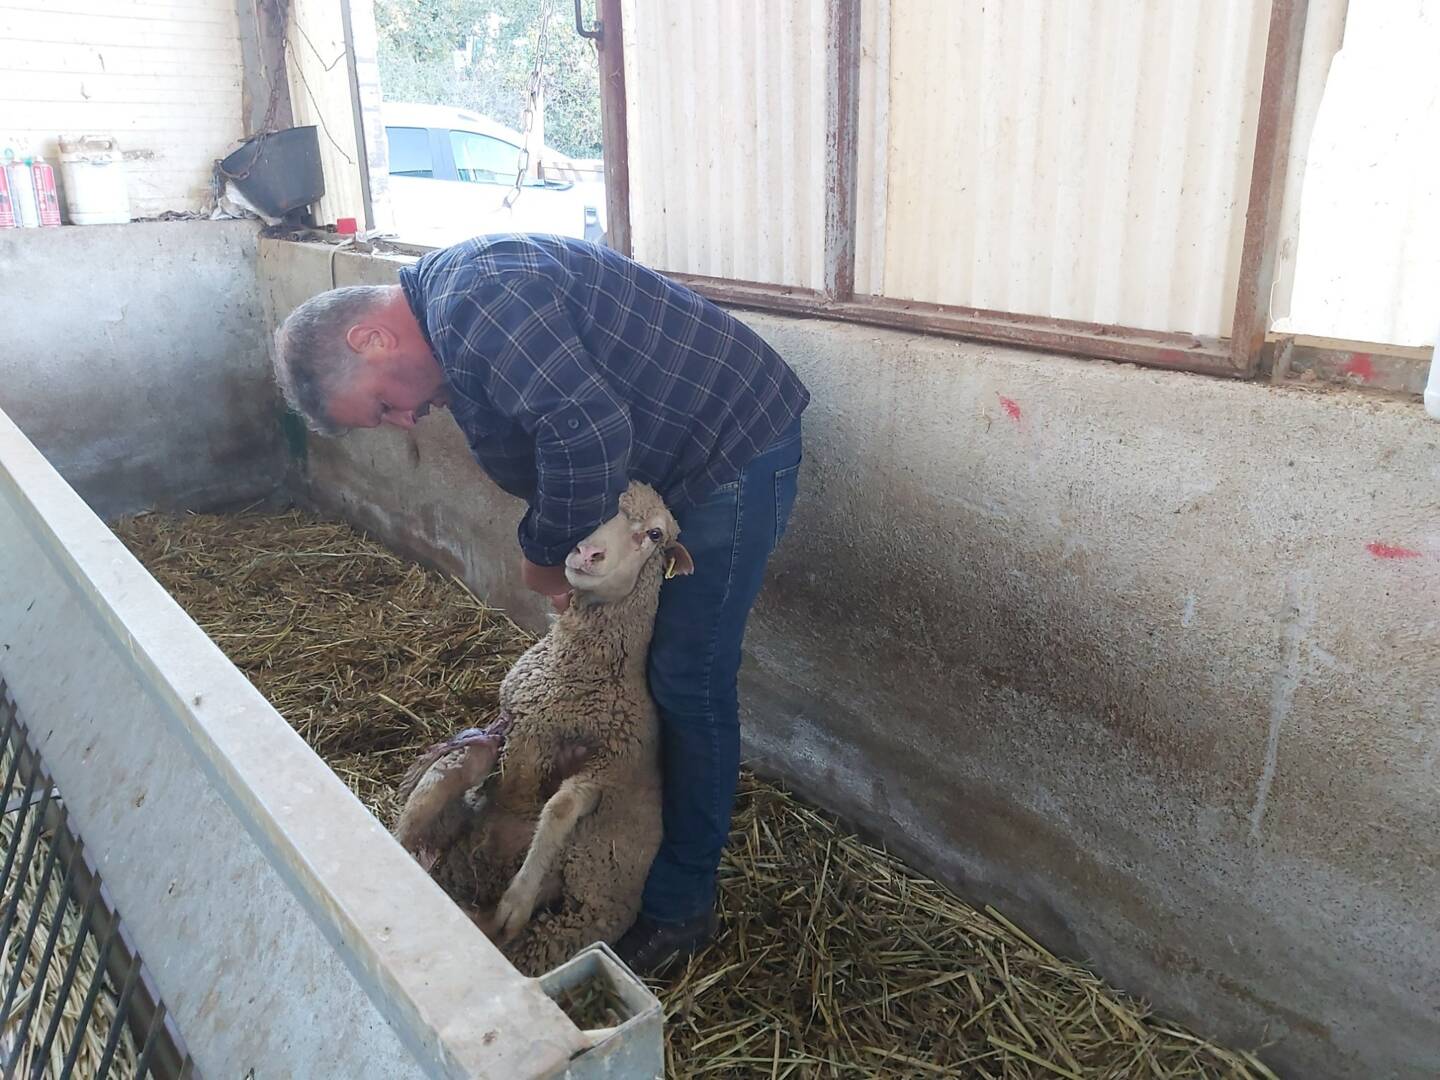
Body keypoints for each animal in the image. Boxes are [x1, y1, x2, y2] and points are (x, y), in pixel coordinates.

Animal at [388, 486, 691, 979]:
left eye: (654, 534)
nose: (586, 552)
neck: (577, 672)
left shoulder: (611, 768)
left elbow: (560, 808)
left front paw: (516, 901)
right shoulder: (512, 719)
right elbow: (462, 761)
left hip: (569, 923)